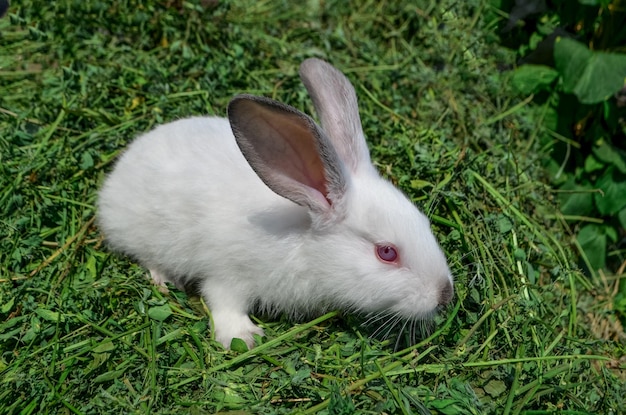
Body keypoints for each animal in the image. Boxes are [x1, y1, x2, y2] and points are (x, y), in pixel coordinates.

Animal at [95, 58, 450, 350]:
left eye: (424, 222)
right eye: (386, 252)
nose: (445, 295)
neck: (303, 240)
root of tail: (118, 173)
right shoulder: (228, 273)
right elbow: (223, 301)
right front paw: (243, 337)